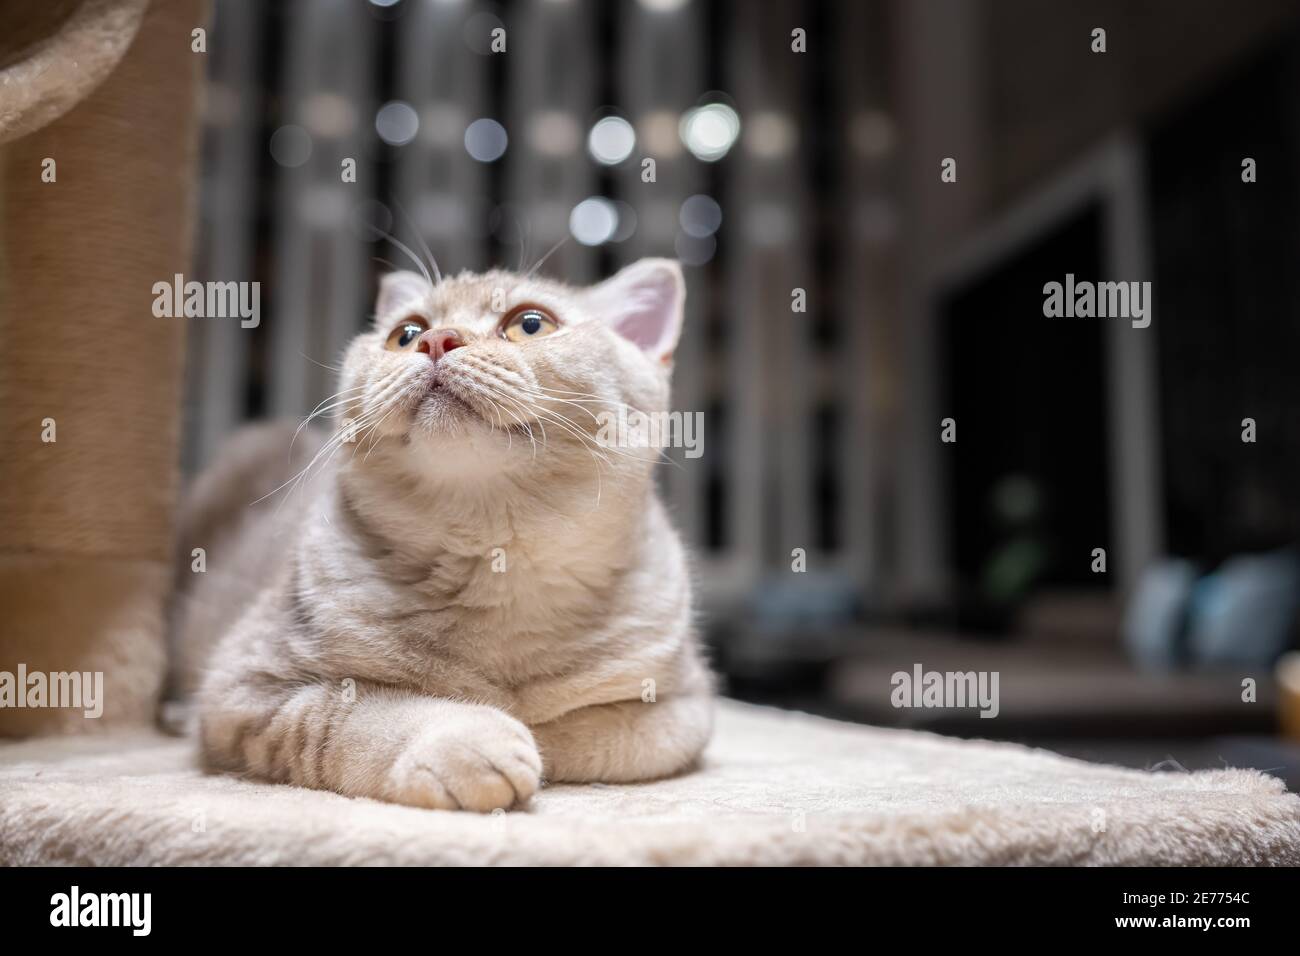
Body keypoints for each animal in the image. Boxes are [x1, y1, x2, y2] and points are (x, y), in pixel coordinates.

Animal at [175, 257, 712, 811]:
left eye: (530, 323)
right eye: (405, 333)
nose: (437, 339)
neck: (496, 562)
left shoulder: (683, 706)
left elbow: (600, 733)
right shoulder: (244, 684)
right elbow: (353, 711)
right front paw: (471, 736)